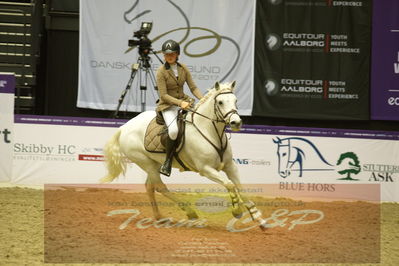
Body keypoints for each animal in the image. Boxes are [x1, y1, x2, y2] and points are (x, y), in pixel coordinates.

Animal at [101, 81, 268, 229]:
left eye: (235, 100)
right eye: (220, 102)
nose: (236, 122)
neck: (210, 131)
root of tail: (124, 127)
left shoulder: (230, 166)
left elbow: (240, 188)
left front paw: (258, 218)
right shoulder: (206, 169)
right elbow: (230, 185)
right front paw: (237, 211)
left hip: (153, 163)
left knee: (150, 187)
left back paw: (160, 217)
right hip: (145, 163)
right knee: (160, 187)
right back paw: (190, 212)